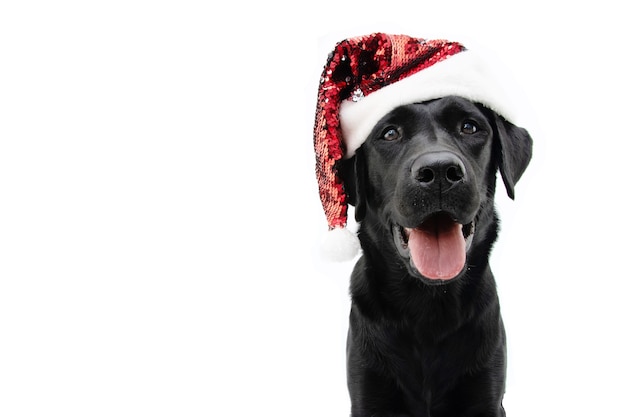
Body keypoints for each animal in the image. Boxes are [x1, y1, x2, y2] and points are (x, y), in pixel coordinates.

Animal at [334, 96, 528, 414]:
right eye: (390, 133)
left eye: (469, 127)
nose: (439, 171)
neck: (429, 306)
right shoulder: (368, 392)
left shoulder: (487, 394)